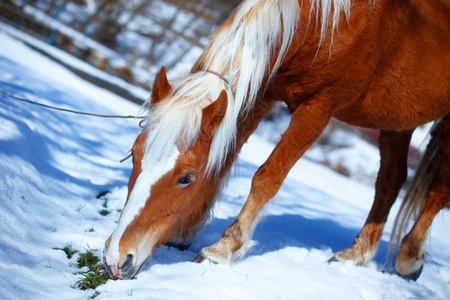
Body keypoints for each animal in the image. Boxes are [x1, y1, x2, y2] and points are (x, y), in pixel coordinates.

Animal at [103, 0, 448, 280]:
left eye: (186, 178)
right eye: (134, 154)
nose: (117, 258)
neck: (333, 23)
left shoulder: (318, 108)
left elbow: (268, 177)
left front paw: (223, 248)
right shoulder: (261, 94)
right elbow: (223, 162)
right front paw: (186, 231)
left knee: (438, 192)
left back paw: (409, 257)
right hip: (398, 120)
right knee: (391, 182)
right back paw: (356, 254)